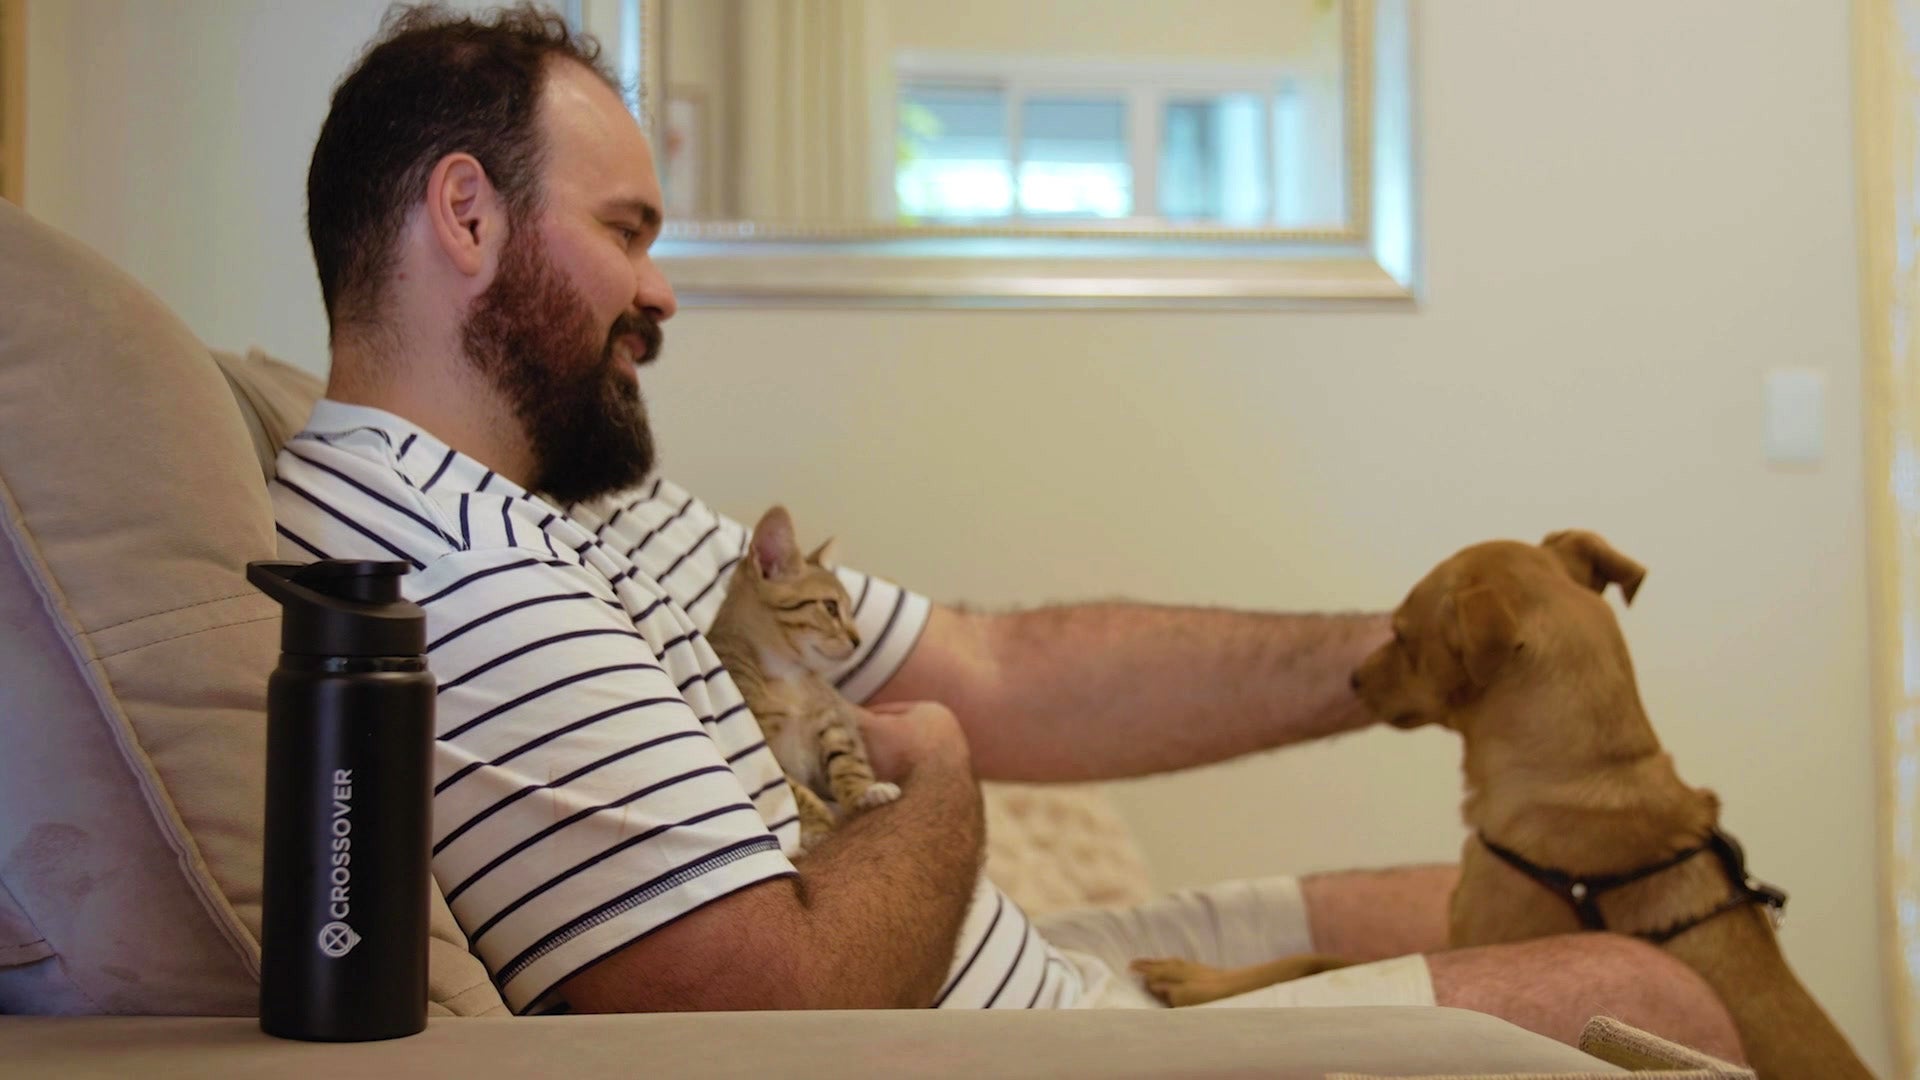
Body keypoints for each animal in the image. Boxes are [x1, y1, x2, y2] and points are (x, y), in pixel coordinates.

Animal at [710, 503, 902, 849]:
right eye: (830, 607)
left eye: (851, 611)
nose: (858, 641)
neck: (788, 674)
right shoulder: (760, 744)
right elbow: (792, 790)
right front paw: (818, 825)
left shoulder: (833, 720)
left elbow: (848, 762)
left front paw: (864, 793)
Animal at [1128, 530, 1866, 1076]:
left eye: (1401, 634)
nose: (1353, 679)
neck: (1589, 769)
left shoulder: (1467, 941)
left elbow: (1322, 961)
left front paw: (1195, 979)